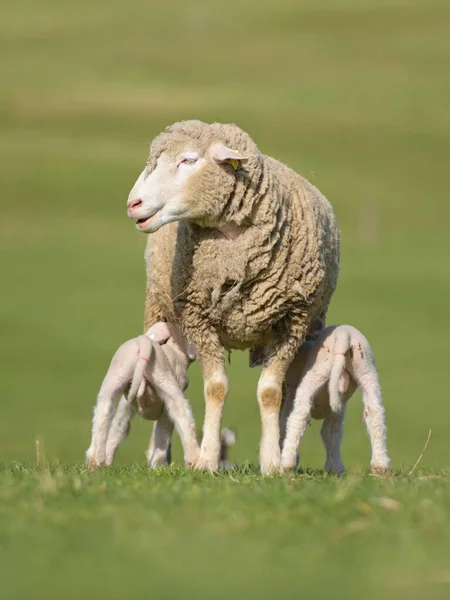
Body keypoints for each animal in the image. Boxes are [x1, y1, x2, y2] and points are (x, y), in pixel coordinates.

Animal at [87, 322, 200, 472]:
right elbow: (162, 432)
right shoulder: (165, 409)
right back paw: (193, 460)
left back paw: (96, 461)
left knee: (103, 412)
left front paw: (108, 461)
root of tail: (143, 342)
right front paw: (157, 466)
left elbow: (118, 428)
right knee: (182, 414)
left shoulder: (126, 403)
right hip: (163, 378)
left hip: (116, 377)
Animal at [125, 118, 340, 474]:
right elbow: (216, 388)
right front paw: (208, 459)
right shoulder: (197, 318)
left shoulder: (293, 321)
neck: (234, 253)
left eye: (188, 160)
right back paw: (159, 458)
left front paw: (272, 461)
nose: (133, 204)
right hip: (159, 312)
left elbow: (271, 392)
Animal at [280, 326, 392, 476]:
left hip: (316, 372)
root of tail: (344, 334)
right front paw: (335, 468)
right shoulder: (337, 409)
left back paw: (287, 463)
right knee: (375, 414)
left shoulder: (291, 392)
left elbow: (283, 425)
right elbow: (332, 432)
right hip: (366, 370)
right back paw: (380, 466)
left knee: (299, 415)